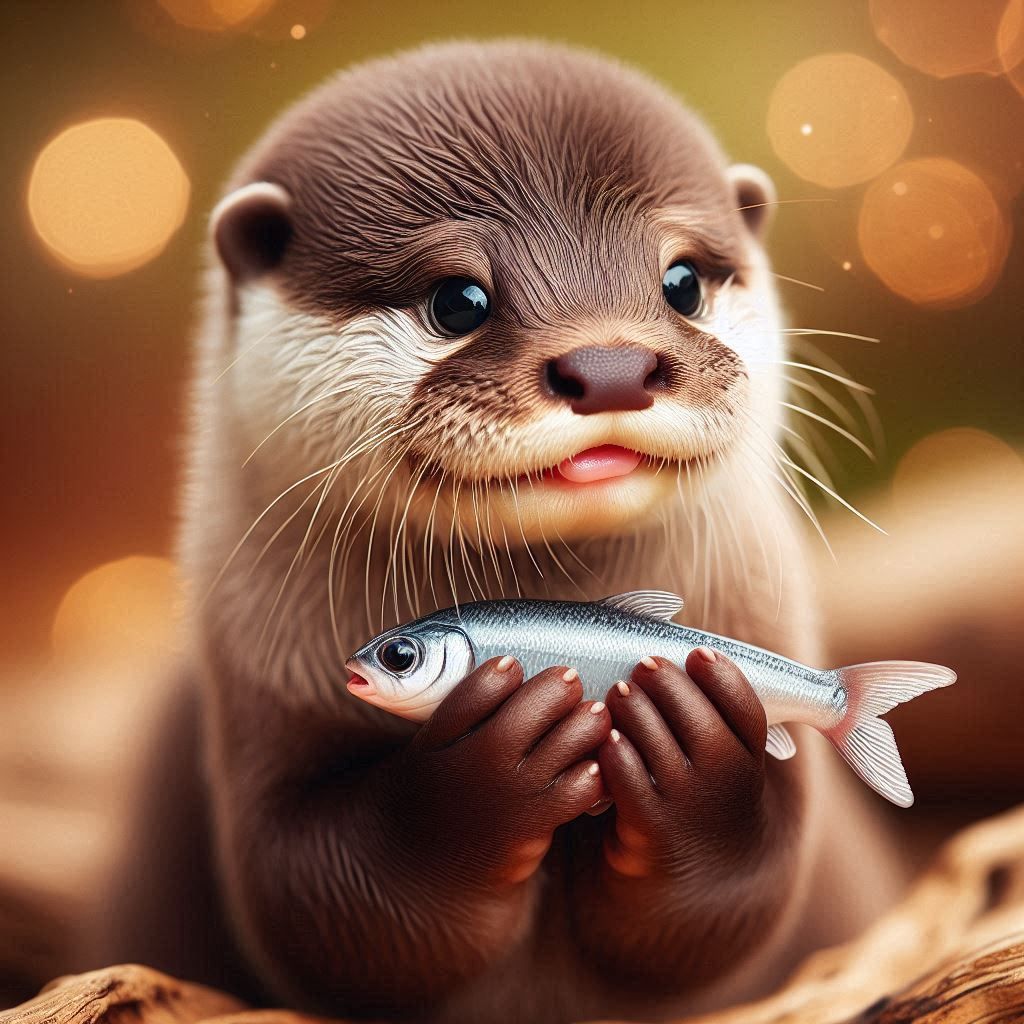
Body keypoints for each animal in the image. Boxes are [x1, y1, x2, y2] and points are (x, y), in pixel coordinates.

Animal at [86, 40, 909, 1024]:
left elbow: (742, 890)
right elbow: (321, 903)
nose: (610, 364)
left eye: (682, 283)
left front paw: (692, 752)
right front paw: (490, 770)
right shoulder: (257, 704)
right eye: (457, 300)